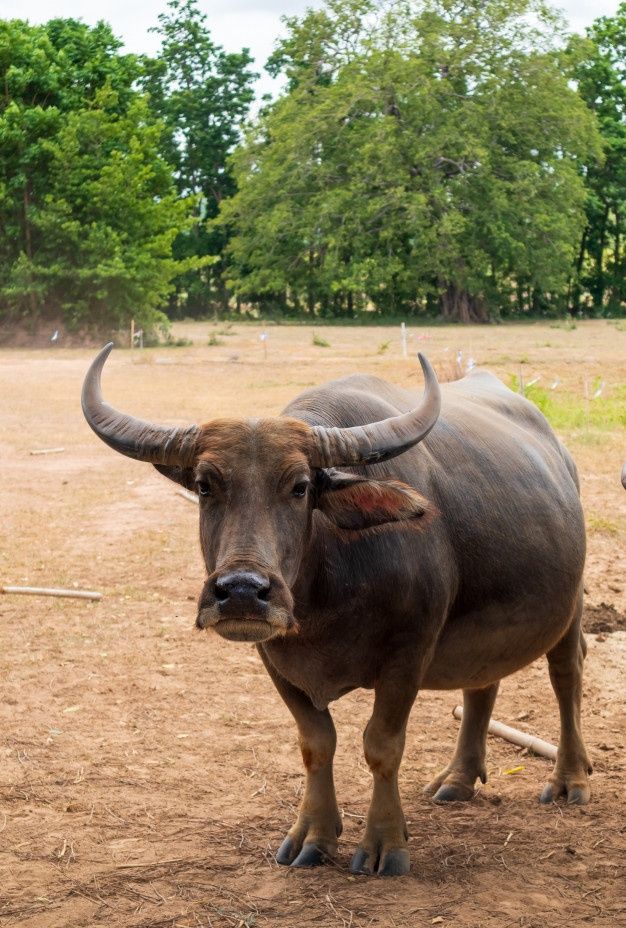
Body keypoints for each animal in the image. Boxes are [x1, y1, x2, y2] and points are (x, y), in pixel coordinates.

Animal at [83, 348, 588, 876]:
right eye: (204, 485)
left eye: (300, 486)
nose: (242, 591)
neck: (328, 595)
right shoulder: (274, 656)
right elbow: (316, 742)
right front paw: (314, 835)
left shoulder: (408, 654)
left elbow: (382, 745)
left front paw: (385, 842)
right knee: (482, 683)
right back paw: (458, 778)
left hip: (571, 604)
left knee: (566, 675)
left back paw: (570, 779)